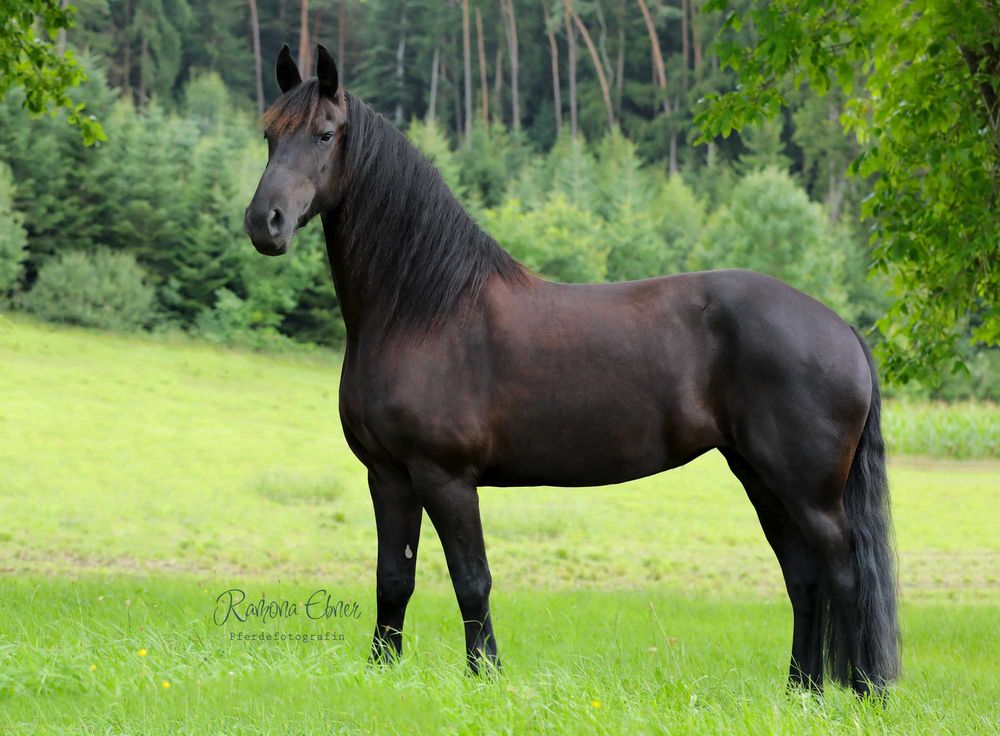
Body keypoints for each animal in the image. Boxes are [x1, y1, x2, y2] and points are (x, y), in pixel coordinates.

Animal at [242, 46, 900, 696]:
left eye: (326, 134)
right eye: (269, 133)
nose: (264, 222)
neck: (423, 312)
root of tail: (841, 329)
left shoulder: (445, 477)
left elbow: (471, 579)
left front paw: (485, 677)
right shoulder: (388, 475)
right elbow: (393, 579)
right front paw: (383, 673)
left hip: (808, 490)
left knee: (844, 574)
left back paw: (861, 693)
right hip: (761, 477)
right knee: (803, 576)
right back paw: (802, 690)